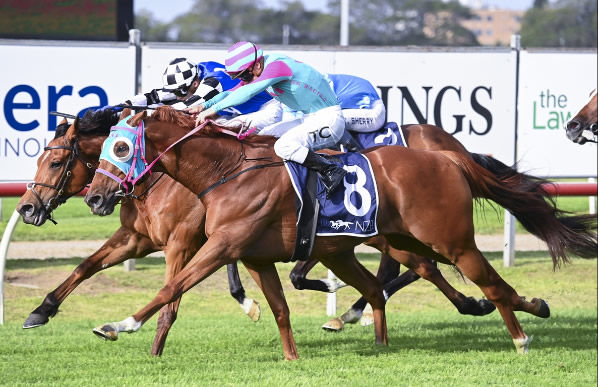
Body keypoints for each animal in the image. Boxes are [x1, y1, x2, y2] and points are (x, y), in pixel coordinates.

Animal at [16, 107, 494, 356]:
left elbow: (172, 291)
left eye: (56, 162)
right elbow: (85, 267)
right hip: (357, 241)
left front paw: (141, 336)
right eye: (40, 157)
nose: (26, 207)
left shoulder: (185, 241)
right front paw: (40, 311)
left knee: (424, 266)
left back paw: (469, 304)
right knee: (398, 274)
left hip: (389, 233)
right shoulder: (142, 237)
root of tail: (447, 149)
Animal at [84, 107, 596, 360]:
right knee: (397, 281)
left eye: (122, 147)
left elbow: (171, 286)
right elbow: (280, 307)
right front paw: (292, 357)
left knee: (486, 281)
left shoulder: (223, 245)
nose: (95, 197)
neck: (227, 171)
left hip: (449, 239)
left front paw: (118, 325)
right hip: (393, 241)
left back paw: (519, 338)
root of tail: (449, 158)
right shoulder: (255, 256)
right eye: (101, 147)